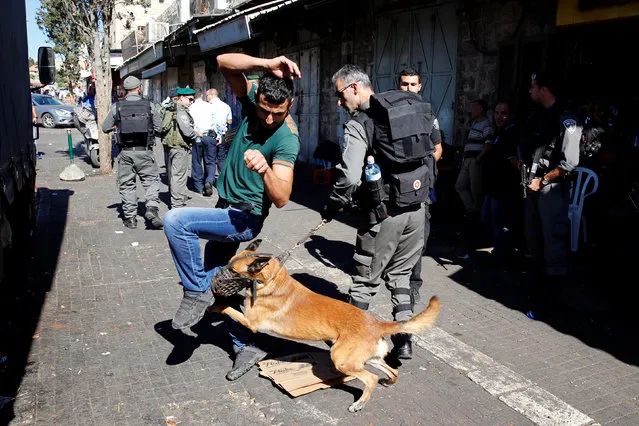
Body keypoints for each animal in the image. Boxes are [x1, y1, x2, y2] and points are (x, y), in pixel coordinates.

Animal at [210, 238, 440, 412]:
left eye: (233, 271)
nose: (215, 278)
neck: (271, 280)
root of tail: (378, 323)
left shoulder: (250, 322)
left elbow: (227, 308)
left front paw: (214, 306)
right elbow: (235, 302)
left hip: (342, 360)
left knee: (371, 379)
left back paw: (359, 404)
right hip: (368, 359)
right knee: (392, 372)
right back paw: (388, 382)